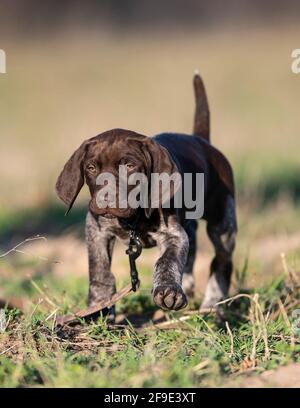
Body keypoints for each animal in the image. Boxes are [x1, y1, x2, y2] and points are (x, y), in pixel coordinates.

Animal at [54, 73, 237, 316]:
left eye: (130, 166)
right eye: (91, 168)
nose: (106, 198)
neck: (132, 219)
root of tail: (202, 141)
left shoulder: (173, 234)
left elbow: (167, 261)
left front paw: (169, 291)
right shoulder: (96, 230)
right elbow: (99, 270)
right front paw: (99, 305)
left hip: (223, 223)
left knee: (221, 262)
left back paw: (212, 305)